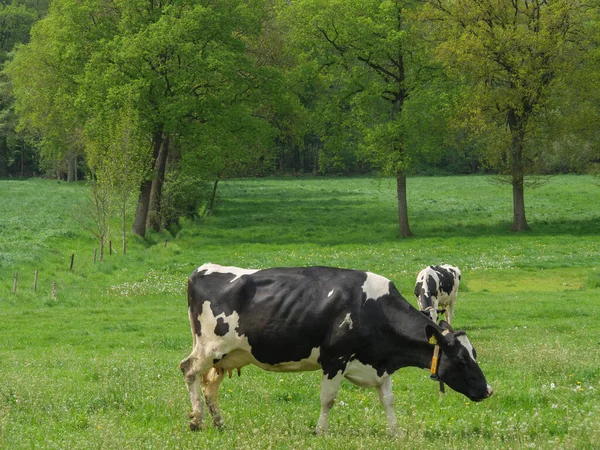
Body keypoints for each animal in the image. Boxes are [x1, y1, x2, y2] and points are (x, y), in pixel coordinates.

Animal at [179, 264, 492, 432]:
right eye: (461, 359)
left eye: (474, 354)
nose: (488, 390)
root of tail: (201, 270)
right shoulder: (335, 359)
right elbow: (328, 399)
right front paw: (320, 431)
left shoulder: (380, 365)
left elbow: (388, 400)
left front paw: (396, 432)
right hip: (209, 348)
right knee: (189, 370)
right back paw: (195, 420)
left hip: (226, 357)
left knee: (210, 386)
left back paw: (219, 423)